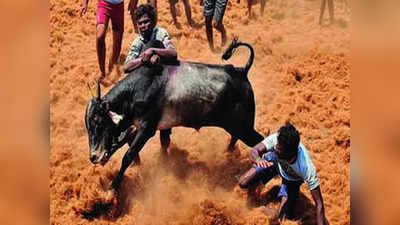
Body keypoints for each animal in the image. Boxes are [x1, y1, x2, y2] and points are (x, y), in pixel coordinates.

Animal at [85, 40, 266, 190]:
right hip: (236, 125)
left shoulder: (146, 129)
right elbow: (124, 145)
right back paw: (227, 154)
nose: (93, 157)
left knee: (260, 141)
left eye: (98, 122)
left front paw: (113, 187)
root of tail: (241, 71)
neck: (136, 90)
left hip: (244, 127)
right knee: (236, 138)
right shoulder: (136, 127)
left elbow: (128, 156)